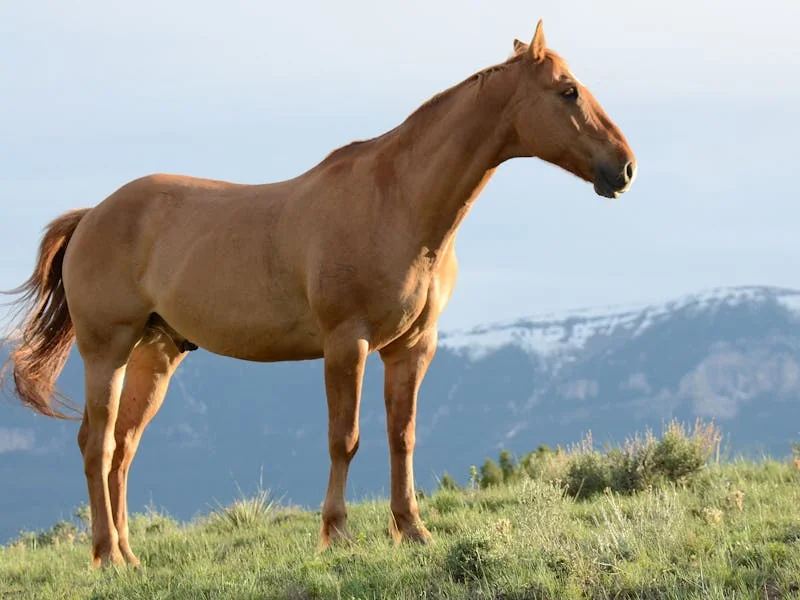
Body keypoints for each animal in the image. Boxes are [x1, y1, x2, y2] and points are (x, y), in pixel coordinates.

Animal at [1, 20, 636, 568]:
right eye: (568, 91)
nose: (625, 168)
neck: (397, 203)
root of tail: (92, 215)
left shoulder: (413, 347)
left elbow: (402, 436)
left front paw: (412, 530)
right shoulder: (346, 343)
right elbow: (344, 439)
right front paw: (337, 534)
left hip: (155, 355)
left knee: (124, 448)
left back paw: (130, 557)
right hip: (106, 349)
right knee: (97, 444)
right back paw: (107, 556)